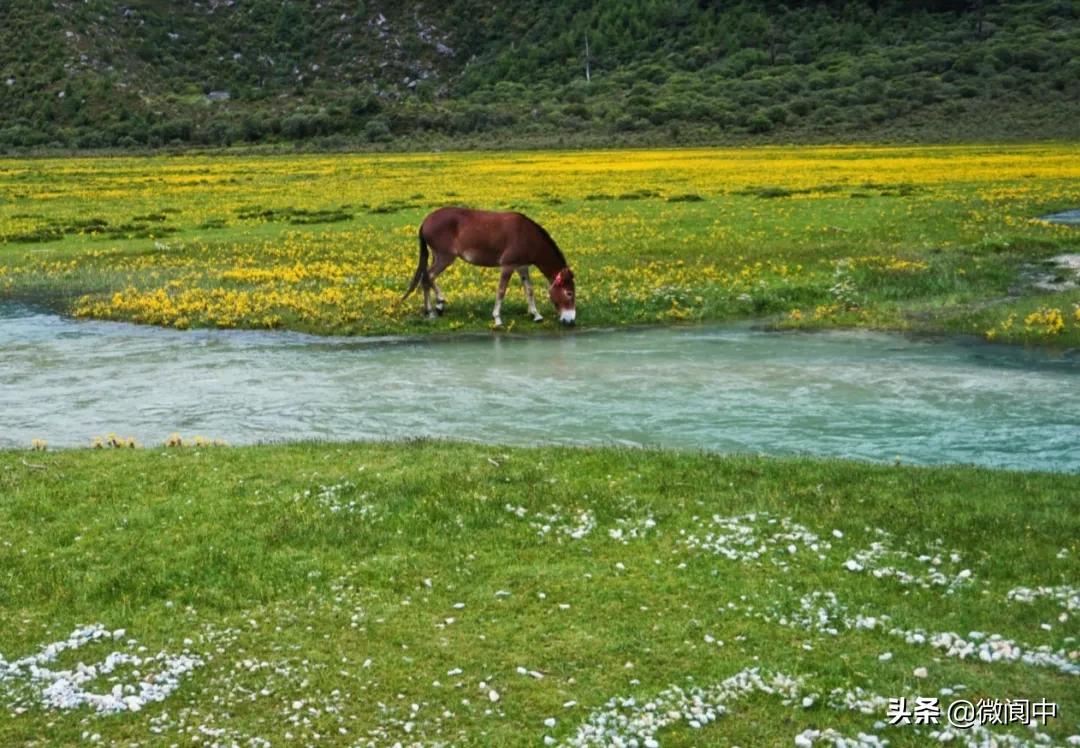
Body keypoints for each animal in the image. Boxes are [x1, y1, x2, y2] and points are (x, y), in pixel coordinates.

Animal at [401, 210, 578, 325]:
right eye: (569, 293)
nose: (570, 321)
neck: (527, 236)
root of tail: (426, 221)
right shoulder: (508, 266)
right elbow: (501, 291)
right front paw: (497, 318)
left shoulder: (522, 267)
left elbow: (529, 290)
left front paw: (536, 314)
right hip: (445, 257)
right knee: (429, 276)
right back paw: (435, 307)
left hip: (437, 256)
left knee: (426, 277)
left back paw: (432, 308)